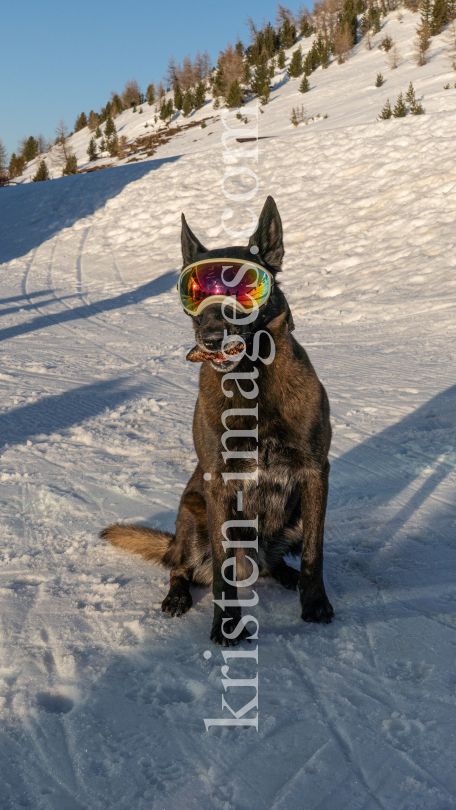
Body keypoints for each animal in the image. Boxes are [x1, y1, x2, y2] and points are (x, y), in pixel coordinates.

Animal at [101, 196, 334, 644]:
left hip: (291, 515)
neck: (253, 385)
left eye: (244, 289)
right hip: (193, 516)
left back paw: (287, 575)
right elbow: (224, 580)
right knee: (181, 567)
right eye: (195, 295)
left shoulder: (315, 473)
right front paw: (226, 623)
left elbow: (315, 551)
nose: (210, 340)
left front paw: (314, 602)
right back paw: (177, 595)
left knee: (273, 563)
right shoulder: (219, 485)